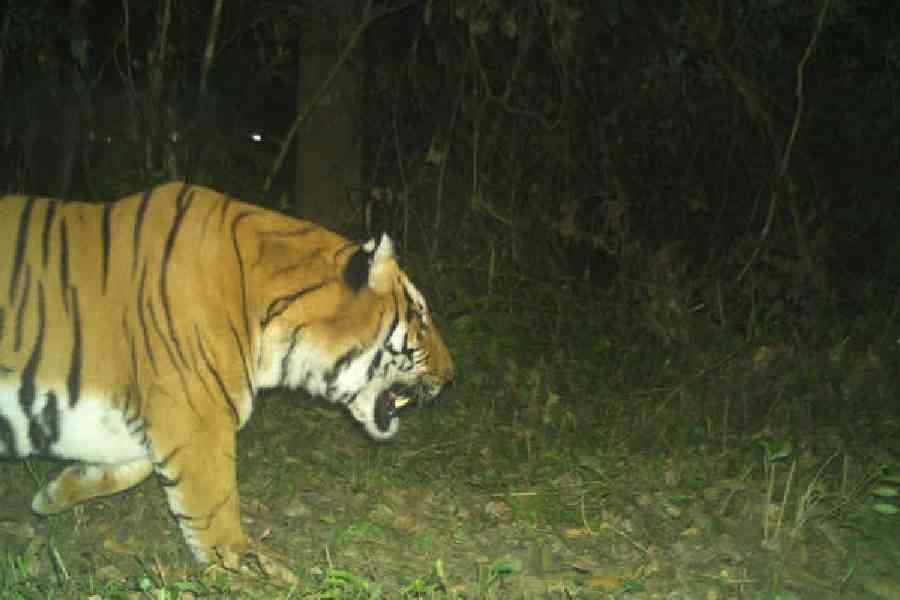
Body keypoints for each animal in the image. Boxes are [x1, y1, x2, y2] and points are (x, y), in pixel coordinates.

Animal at [0, 182, 454, 571]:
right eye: (421, 321)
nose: (451, 377)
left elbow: (134, 466)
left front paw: (54, 493)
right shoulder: (197, 418)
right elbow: (214, 505)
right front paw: (247, 566)